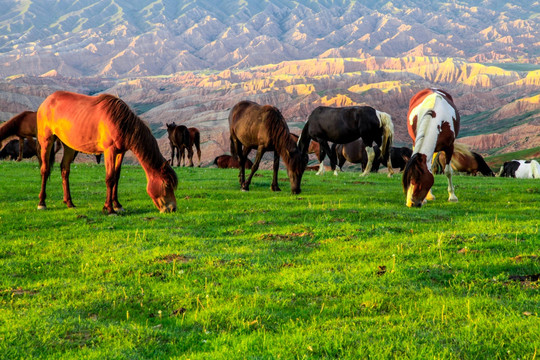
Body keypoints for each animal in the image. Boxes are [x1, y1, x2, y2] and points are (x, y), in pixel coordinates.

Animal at [37, 90, 179, 214]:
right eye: (167, 184)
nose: (172, 208)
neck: (121, 122)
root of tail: (47, 100)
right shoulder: (109, 151)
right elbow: (110, 178)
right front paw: (109, 209)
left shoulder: (121, 152)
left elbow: (116, 177)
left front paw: (117, 205)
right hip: (46, 140)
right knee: (45, 170)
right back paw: (42, 203)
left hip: (69, 146)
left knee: (65, 170)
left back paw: (69, 203)